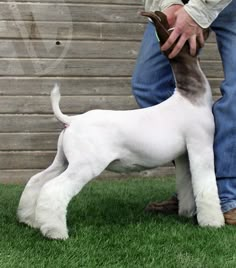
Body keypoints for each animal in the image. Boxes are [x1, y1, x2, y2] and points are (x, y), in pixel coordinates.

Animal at [17, 11, 224, 240]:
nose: (206, 26)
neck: (190, 95)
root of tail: (72, 120)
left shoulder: (183, 156)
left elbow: (187, 184)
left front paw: (187, 213)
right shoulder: (201, 146)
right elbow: (206, 185)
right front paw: (213, 222)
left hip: (63, 161)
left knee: (36, 181)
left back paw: (29, 220)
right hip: (84, 165)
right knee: (53, 189)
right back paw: (56, 232)